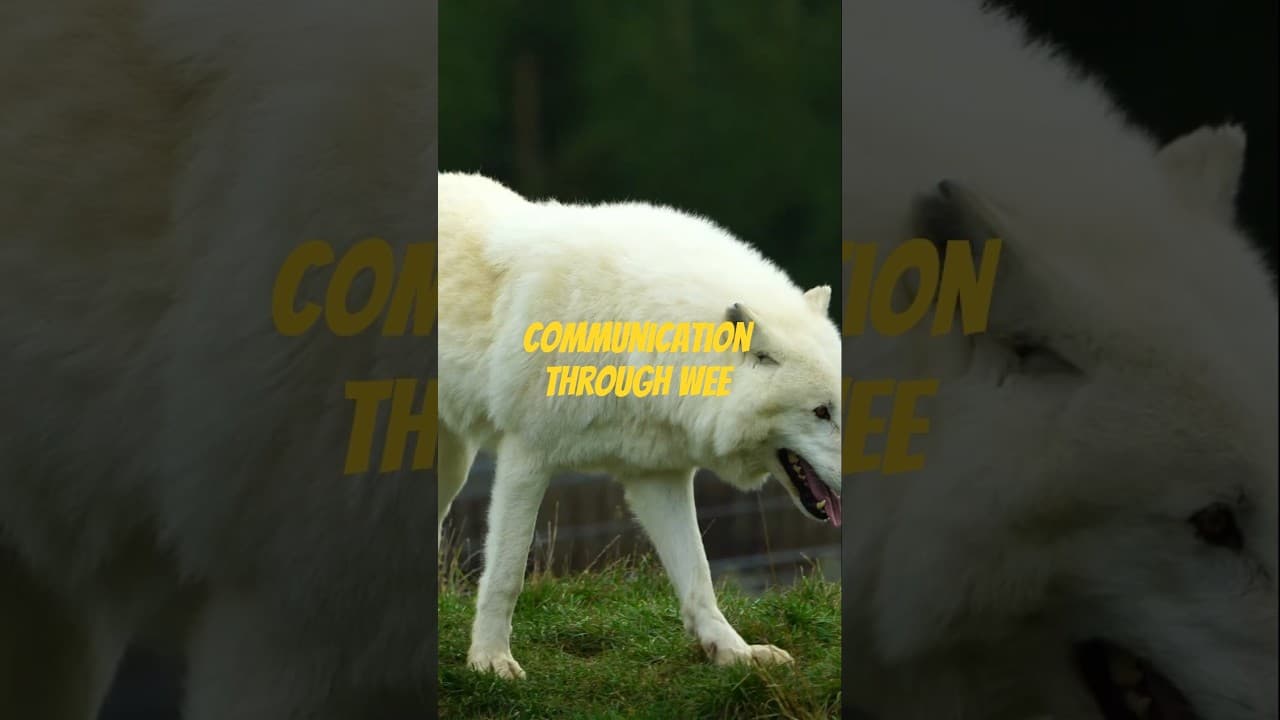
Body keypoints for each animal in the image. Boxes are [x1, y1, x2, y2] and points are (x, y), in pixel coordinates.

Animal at [436, 172, 842, 679]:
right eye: (821, 412)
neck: (629, 327)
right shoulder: (526, 456)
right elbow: (507, 572)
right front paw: (491, 661)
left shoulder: (657, 475)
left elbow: (699, 577)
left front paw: (735, 653)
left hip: (452, 464)